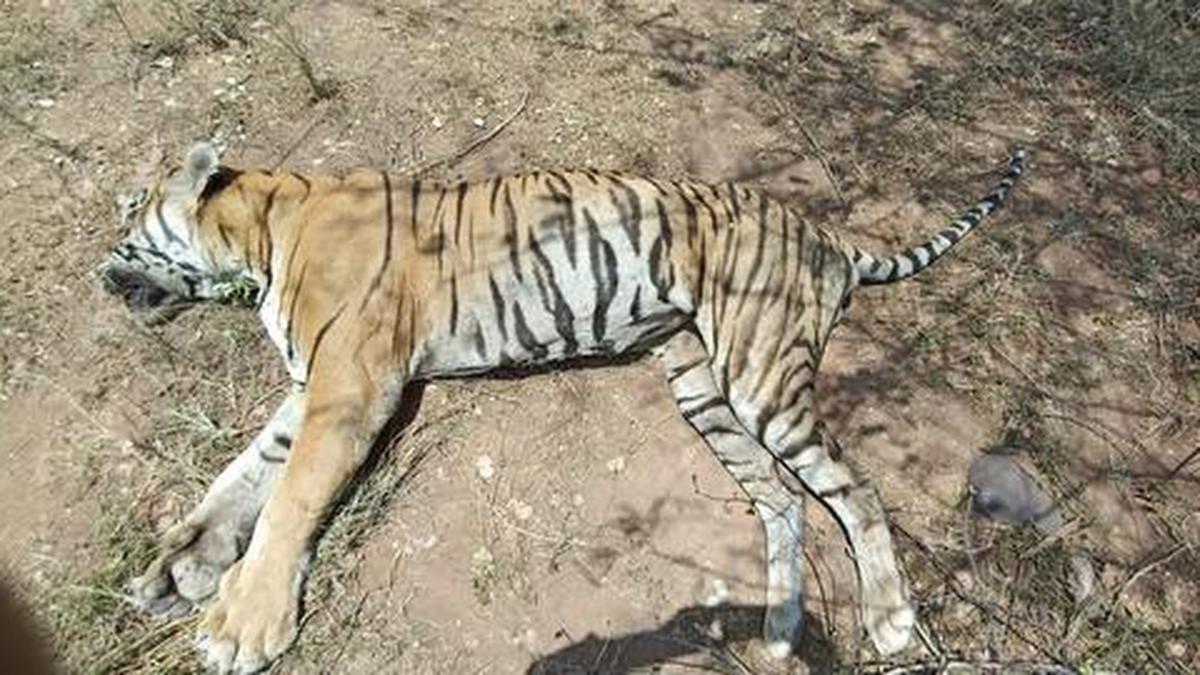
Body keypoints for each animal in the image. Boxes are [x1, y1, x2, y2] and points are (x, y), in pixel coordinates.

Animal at [100, 141, 1025, 673]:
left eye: (129, 218)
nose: (101, 275)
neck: (263, 229)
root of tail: (824, 235)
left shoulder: (349, 385)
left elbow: (291, 495)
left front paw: (242, 623)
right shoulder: (317, 384)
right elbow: (245, 474)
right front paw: (180, 565)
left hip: (761, 373)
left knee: (853, 489)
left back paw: (891, 624)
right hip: (702, 385)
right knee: (782, 497)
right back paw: (781, 628)